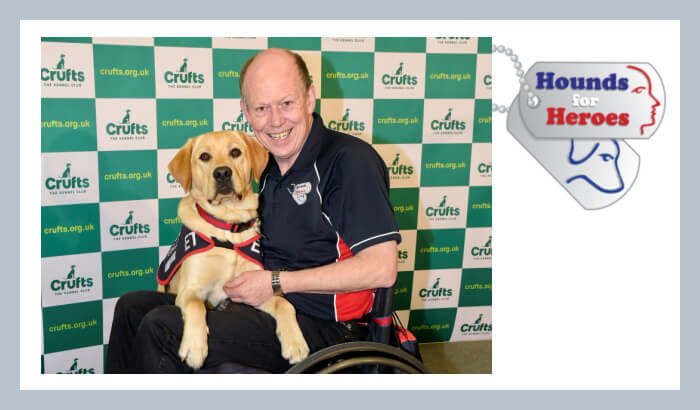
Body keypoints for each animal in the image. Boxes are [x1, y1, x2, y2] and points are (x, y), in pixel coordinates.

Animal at [159, 130, 312, 370]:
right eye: (204, 157)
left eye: (235, 152)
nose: (222, 173)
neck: (228, 226)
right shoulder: (190, 290)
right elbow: (195, 306)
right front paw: (194, 347)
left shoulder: (252, 289)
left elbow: (284, 304)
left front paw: (295, 342)